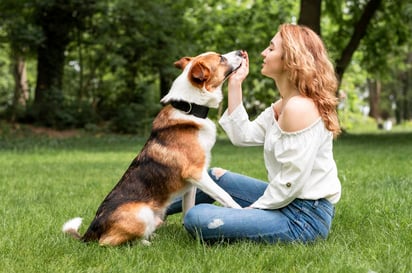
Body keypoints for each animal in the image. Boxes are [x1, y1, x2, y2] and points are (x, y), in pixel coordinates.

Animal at [62, 50, 245, 245]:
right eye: (221, 58)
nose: (241, 52)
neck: (189, 108)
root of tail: (90, 232)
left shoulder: (192, 183)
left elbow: (189, 210)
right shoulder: (196, 173)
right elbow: (226, 196)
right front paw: (244, 211)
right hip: (142, 213)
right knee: (107, 242)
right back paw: (145, 243)